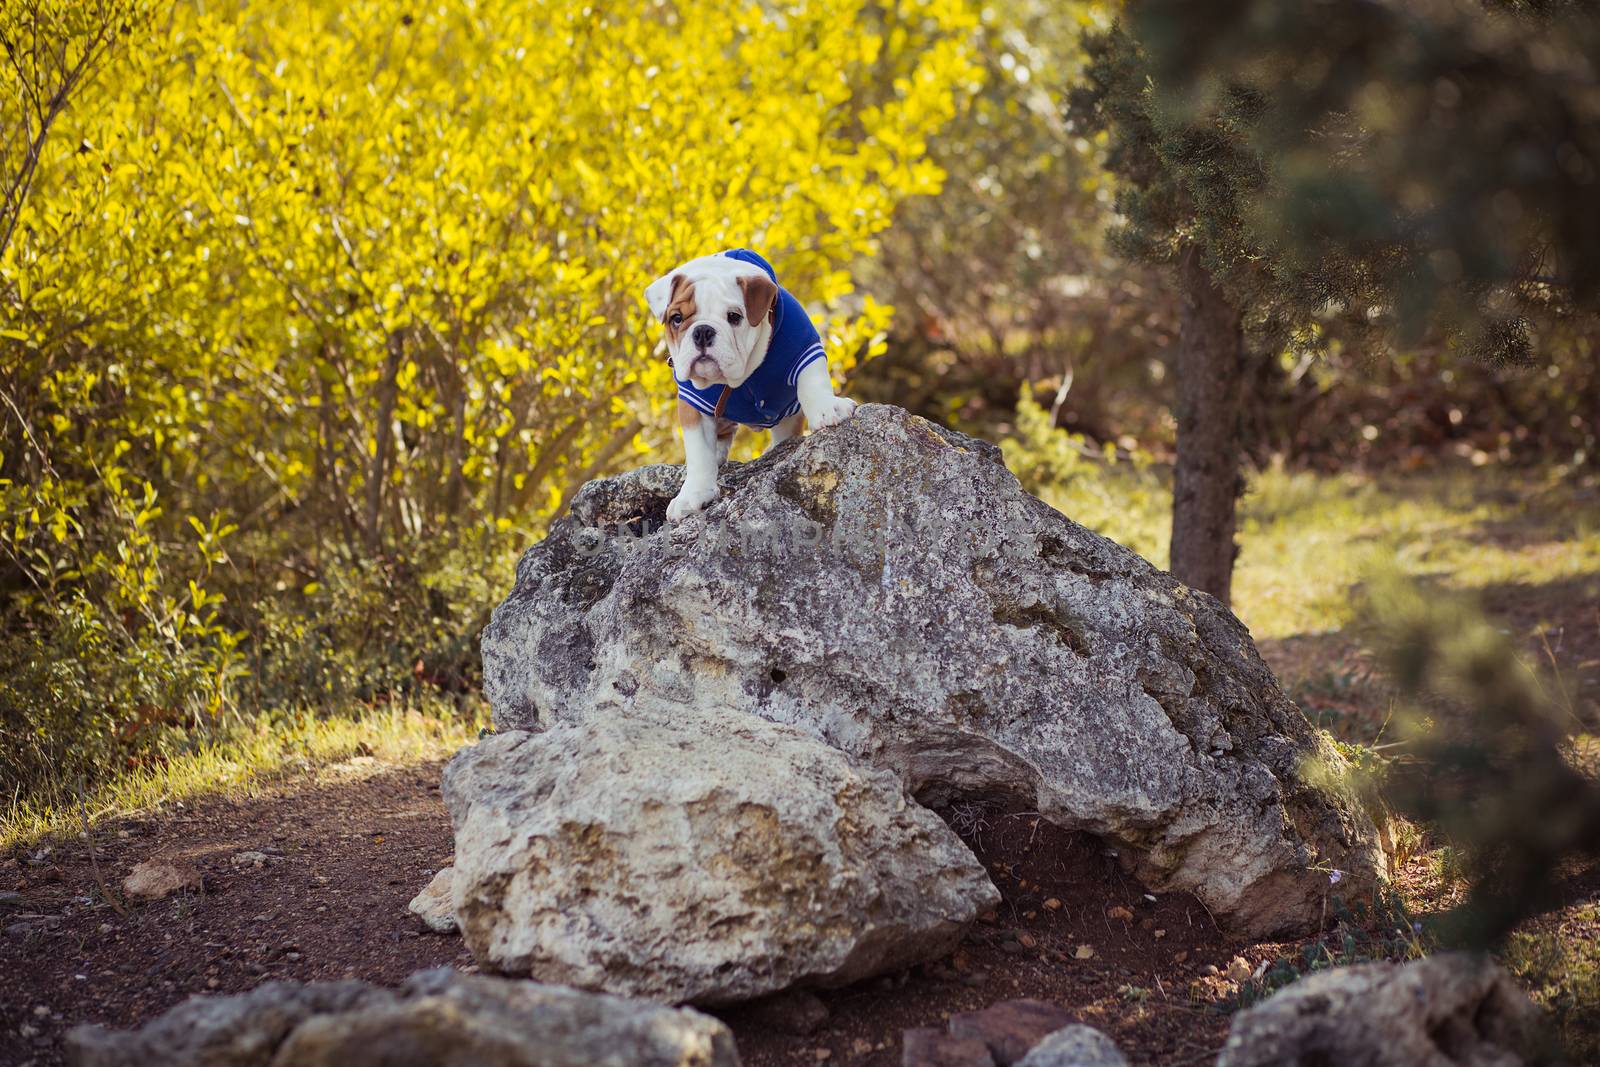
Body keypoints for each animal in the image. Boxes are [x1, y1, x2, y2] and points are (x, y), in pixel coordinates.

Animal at [643, 247, 857, 521]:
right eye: (676, 319)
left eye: (734, 317)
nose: (702, 331)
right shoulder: (693, 402)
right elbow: (699, 452)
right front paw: (693, 495)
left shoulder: (803, 347)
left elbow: (812, 380)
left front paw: (826, 408)